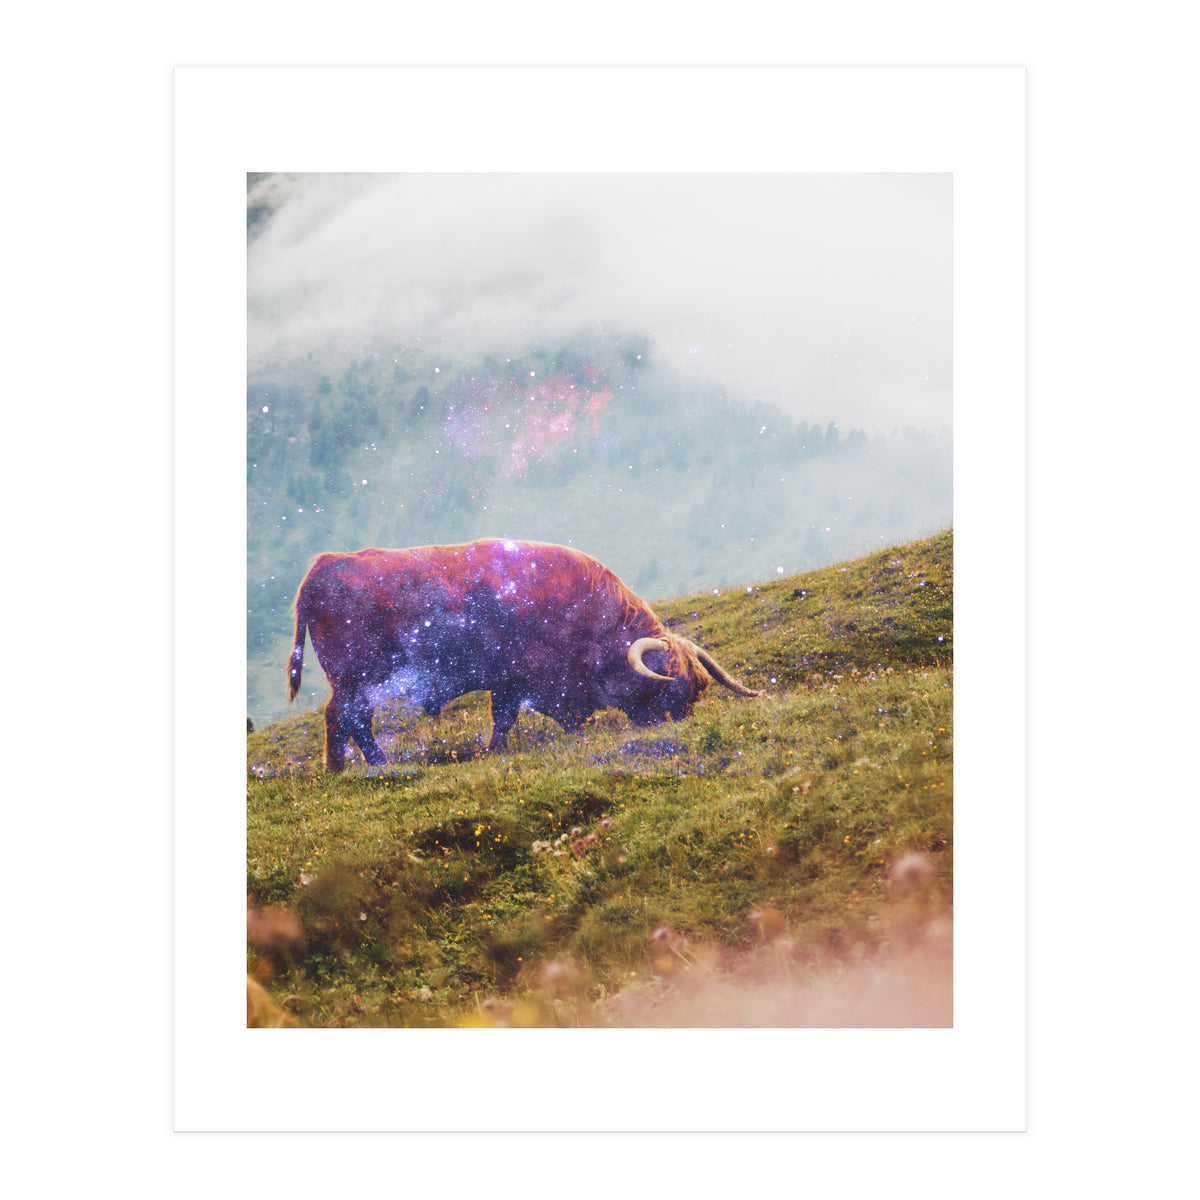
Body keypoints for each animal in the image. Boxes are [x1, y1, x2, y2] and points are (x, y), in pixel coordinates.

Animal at [287, 538, 762, 772]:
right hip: (357, 678)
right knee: (345, 718)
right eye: (670, 688)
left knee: (350, 720)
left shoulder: (510, 682)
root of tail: (324, 565)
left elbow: (506, 717)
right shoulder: (526, 676)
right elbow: (513, 716)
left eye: (696, 689)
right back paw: (360, 767)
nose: (678, 726)